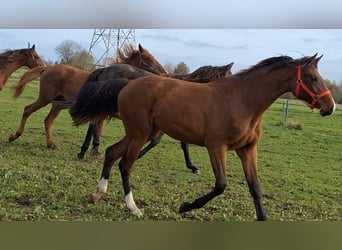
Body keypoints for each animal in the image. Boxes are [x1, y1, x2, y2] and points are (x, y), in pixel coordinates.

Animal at [8, 43, 166, 149]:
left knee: (48, 121)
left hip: (57, 103)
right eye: (147, 57)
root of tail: (48, 68)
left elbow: (97, 128)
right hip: (45, 99)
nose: (163, 72)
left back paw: (50, 144)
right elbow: (96, 127)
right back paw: (15, 135)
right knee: (28, 109)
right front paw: (92, 149)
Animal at [76, 62, 234, 175]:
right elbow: (156, 141)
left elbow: (182, 144)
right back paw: (92, 149)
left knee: (93, 124)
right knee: (94, 124)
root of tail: (104, 69)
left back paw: (85, 151)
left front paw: (192, 166)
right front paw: (139, 154)